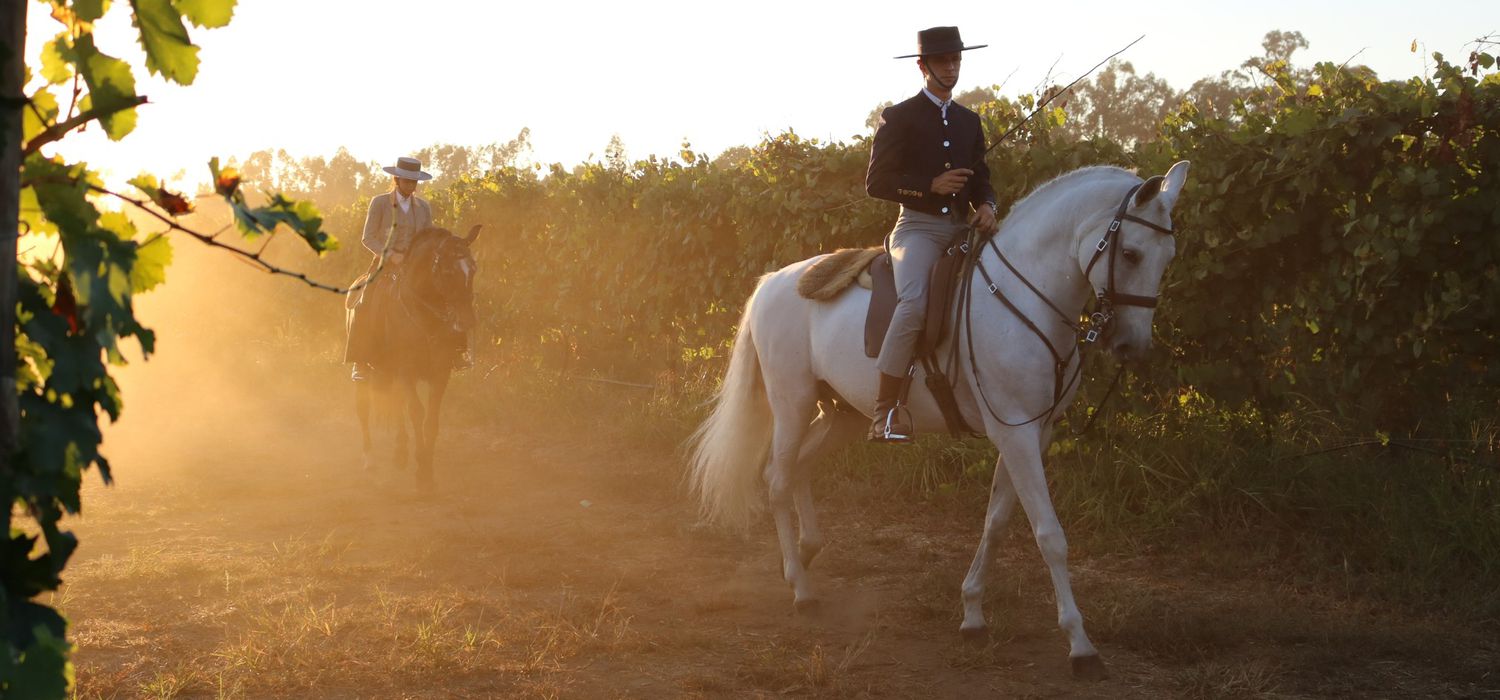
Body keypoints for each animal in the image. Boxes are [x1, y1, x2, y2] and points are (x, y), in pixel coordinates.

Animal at [351, 224, 480, 488]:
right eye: (448, 271)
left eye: (473, 268)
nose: (467, 321)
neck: (424, 314)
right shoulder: (406, 370)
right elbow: (417, 413)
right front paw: (421, 473)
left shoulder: (440, 373)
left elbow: (431, 419)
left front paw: (427, 471)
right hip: (365, 369)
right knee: (364, 408)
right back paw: (369, 458)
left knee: (396, 403)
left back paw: (400, 452)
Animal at [690, 161, 1194, 677]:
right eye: (1130, 253)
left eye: (1167, 256)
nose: (1133, 345)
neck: (1023, 296)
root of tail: (774, 281)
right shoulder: (1015, 432)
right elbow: (1049, 534)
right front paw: (1080, 644)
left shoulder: (1033, 433)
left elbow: (996, 522)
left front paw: (972, 614)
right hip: (791, 402)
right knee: (777, 478)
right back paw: (801, 588)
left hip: (842, 414)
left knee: (797, 469)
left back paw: (806, 553)